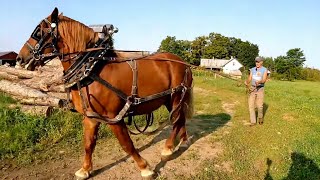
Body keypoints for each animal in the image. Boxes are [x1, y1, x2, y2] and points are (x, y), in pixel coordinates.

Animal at [16, 7, 194, 179]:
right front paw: (84, 170)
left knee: (177, 120)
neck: (91, 69)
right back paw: (184, 141)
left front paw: (145, 168)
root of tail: (183, 62)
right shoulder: (90, 117)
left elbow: (126, 144)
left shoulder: (114, 118)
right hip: (170, 100)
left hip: (177, 96)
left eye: (38, 32)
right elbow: (88, 144)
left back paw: (168, 148)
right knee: (180, 119)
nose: (19, 58)